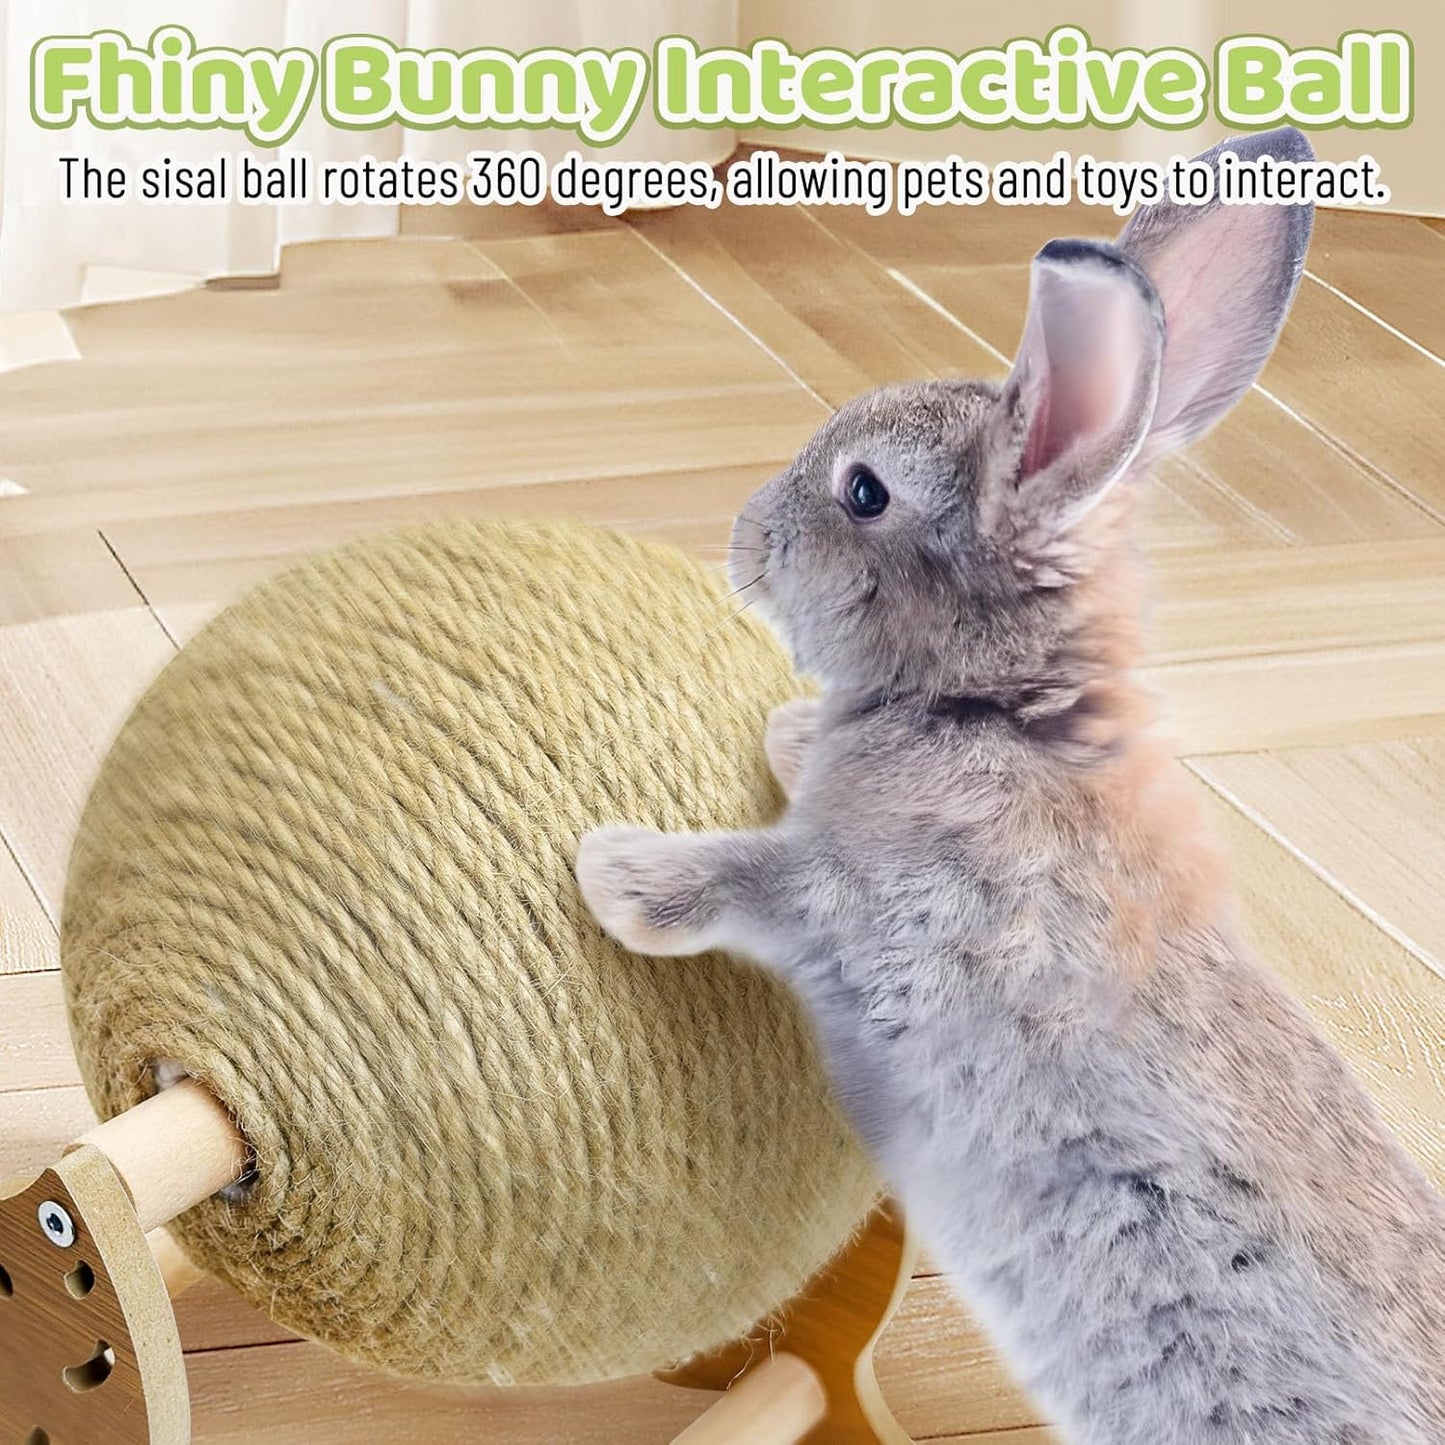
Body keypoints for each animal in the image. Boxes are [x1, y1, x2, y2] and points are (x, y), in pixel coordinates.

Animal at [576, 127, 1445, 1445]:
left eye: (864, 491)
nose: (741, 535)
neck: (1004, 708)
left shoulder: (871, 895)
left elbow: (749, 875)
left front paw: (613, 870)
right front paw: (788, 732)